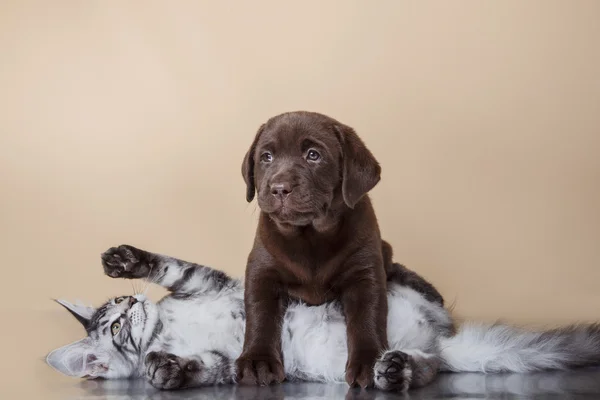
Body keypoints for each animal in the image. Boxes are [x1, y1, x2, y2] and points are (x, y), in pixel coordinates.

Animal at [48, 245, 600, 392]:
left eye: (120, 306)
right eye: (116, 327)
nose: (133, 306)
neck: (168, 328)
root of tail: (442, 341)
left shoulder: (203, 279)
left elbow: (166, 263)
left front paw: (125, 260)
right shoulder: (229, 361)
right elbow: (198, 367)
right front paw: (166, 371)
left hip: (397, 287)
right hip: (354, 364)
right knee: (426, 369)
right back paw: (394, 370)